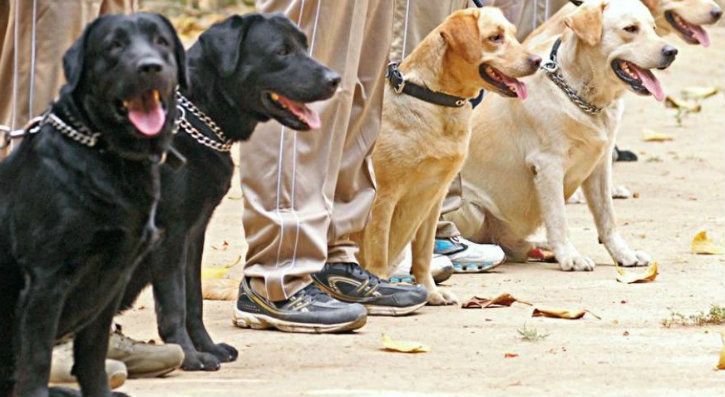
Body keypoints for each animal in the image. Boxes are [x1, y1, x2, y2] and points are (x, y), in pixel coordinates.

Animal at [0, 12, 184, 396]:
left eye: (161, 42)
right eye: (114, 46)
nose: (150, 66)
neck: (106, 155)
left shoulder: (112, 280)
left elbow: (92, 355)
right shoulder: (46, 279)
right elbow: (36, 359)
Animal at [120, 13, 340, 372]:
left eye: (304, 46)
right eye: (281, 51)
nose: (335, 79)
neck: (196, 117)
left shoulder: (193, 234)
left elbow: (193, 299)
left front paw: (207, 348)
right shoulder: (170, 235)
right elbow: (174, 303)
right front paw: (189, 356)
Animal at [354, 6, 540, 304]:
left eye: (512, 33)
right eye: (495, 37)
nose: (537, 61)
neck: (435, 100)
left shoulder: (434, 198)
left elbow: (423, 254)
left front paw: (430, 292)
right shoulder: (383, 196)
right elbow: (378, 250)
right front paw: (380, 288)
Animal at [446, 0, 680, 270]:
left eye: (653, 28)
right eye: (630, 29)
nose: (672, 51)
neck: (584, 96)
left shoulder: (600, 165)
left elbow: (607, 218)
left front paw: (623, 254)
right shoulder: (548, 165)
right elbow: (558, 218)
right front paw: (570, 257)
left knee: (512, 246)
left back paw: (541, 249)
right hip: (470, 208)